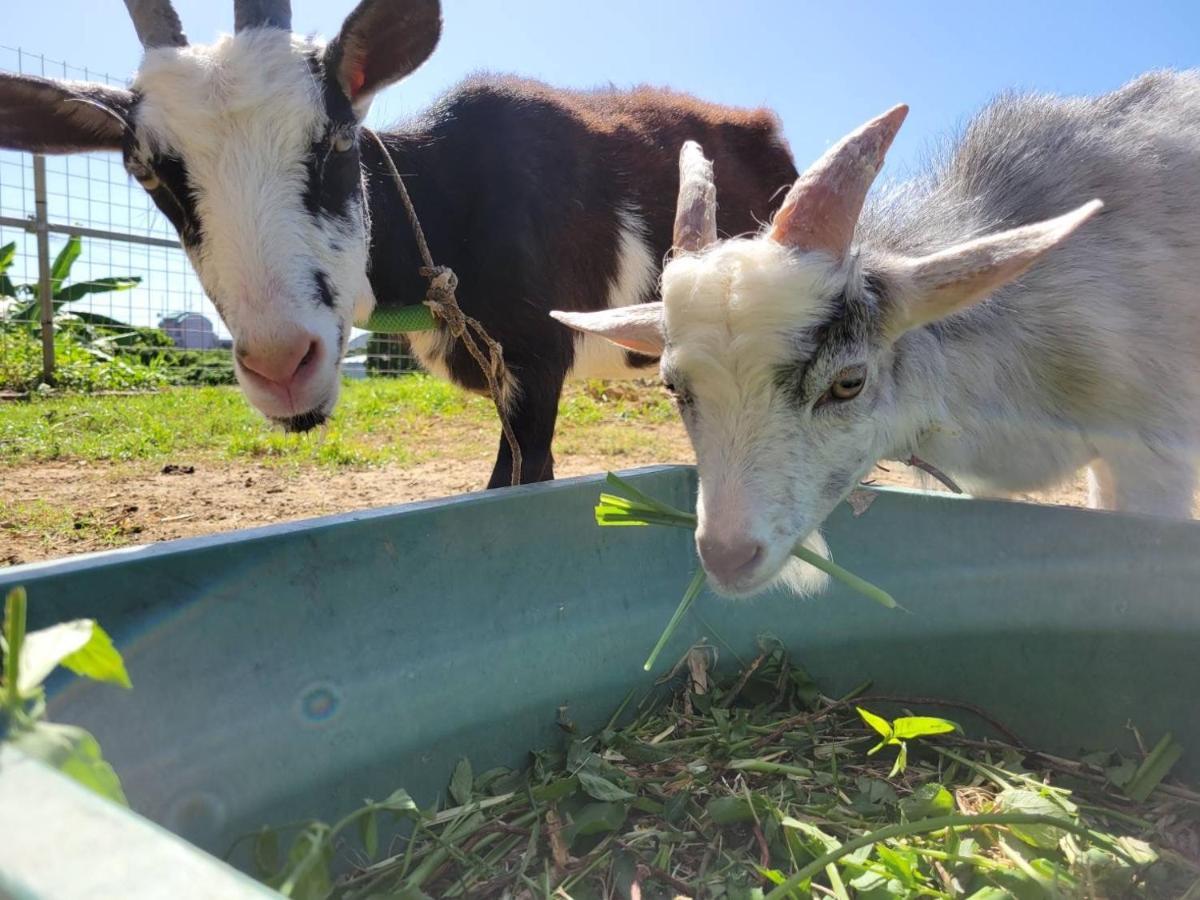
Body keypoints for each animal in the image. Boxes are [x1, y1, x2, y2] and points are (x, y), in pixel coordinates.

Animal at [2, 0, 806, 487]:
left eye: (335, 138)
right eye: (148, 172)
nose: (282, 366)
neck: (445, 191)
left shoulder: (537, 360)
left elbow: (520, 480)